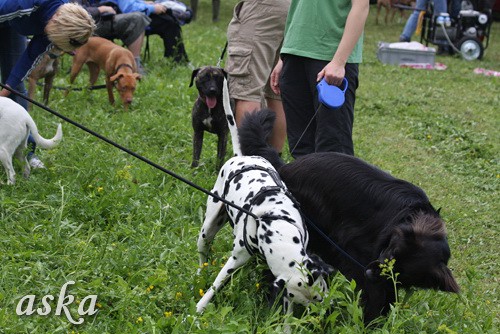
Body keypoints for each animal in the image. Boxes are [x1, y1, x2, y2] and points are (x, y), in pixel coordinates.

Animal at [196, 78, 336, 314]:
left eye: (321, 292)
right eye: (315, 299)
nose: (327, 310)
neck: (277, 224)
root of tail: (241, 156)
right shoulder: (236, 259)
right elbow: (215, 285)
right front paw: (199, 308)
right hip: (208, 227)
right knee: (203, 253)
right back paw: (200, 272)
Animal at [238, 109, 460, 324]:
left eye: (400, 270)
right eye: (390, 251)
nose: (369, 273)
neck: (407, 217)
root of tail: (286, 166)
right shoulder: (356, 254)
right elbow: (375, 295)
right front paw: (368, 322)